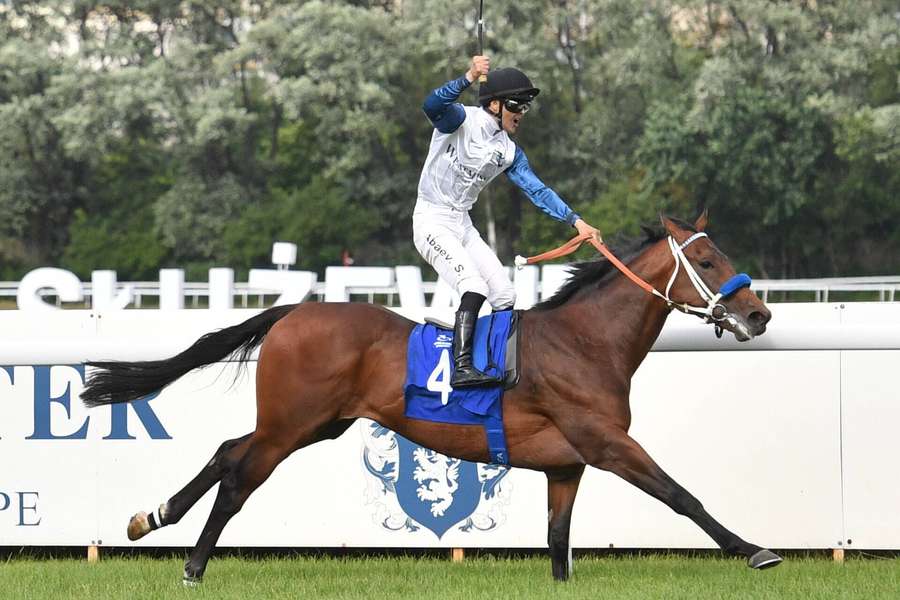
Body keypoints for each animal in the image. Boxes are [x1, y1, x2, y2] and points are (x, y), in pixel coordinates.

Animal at [82, 213, 780, 584]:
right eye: (710, 262)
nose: (760, 314)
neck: (586, 343)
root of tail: (291, 312)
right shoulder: (607, 444)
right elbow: (681, 495)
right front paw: (755, 550)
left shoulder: (565, 465)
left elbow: (558, 540)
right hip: (290, 425)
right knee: (237, 479)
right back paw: (193, 567)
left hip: (315, 423)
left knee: (228, 450)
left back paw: (151, 517)